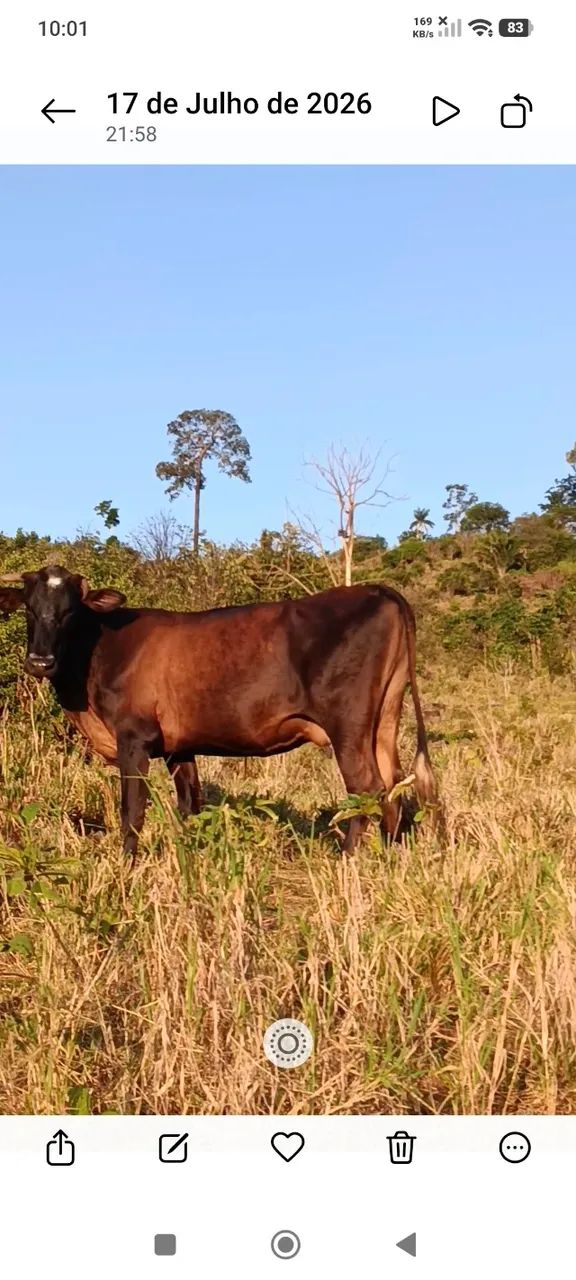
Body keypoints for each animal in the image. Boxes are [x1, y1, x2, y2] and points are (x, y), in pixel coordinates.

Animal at [0, 565, 438, 857]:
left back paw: (347, 859)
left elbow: (132, 812)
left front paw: (127, 867)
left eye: (71, 612)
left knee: (367, 788)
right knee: (393, 786)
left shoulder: (133, 739)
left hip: (347, 726)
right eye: (29, 609)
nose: (40, 661)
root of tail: (376, 591)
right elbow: (190, 806)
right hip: (383, 721)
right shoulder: (179, 747)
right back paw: (388, 857)